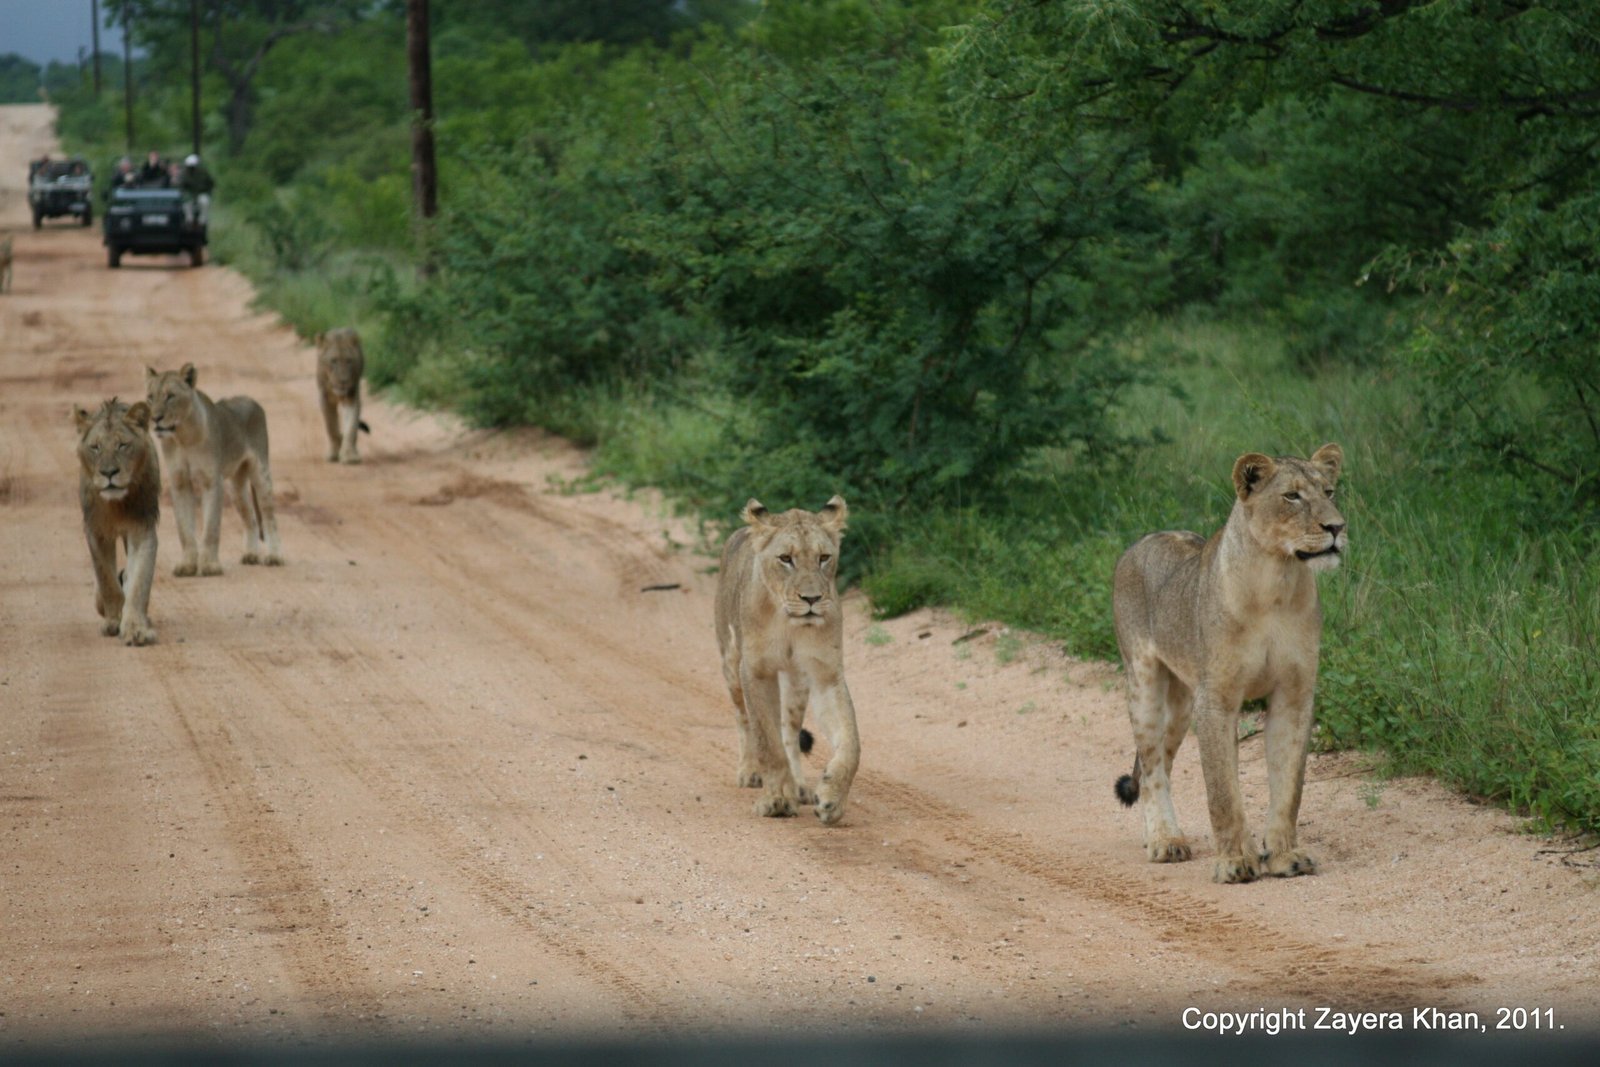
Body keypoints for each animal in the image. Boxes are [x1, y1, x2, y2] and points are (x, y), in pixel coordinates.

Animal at [74, 397, 160, 646]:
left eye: (123, 445)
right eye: (95, 447)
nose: (109, 472)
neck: (117, 504)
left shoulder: (142, 529)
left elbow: (139, 581)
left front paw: (135, 629)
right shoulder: (96, 531)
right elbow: (107, 580)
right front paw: (113, 621)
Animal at [145, 363, 283, 575]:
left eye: (170, 396)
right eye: (150, 397)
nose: (155, 418)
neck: (183, 437)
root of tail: (251, 400)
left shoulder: (212, 481)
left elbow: (211, 527)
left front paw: (209, 565)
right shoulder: (179, 483)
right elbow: (184, 529)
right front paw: (187, 565)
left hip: (261, 472)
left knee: (269, 517)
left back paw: (274, 556)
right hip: (236, 487)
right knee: (250, 518)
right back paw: (251, 554)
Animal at [315, 327, 369, 464]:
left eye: (349, 361)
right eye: (333, 361)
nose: (343, 381)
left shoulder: (351, 397)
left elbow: (351, 427)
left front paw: (349, 456)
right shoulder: (325, 399)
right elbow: (331, 427)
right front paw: (334, 453)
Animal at [715, 496, 861, 825]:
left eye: (823, 557)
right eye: (785, 558)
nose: (812, 599)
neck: (788, 622)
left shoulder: (825, 674)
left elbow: (851, 742)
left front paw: (831, 799)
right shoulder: (755, 671)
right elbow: (766, 741)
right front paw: (777, 800)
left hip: (796, 683)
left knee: (789, 731)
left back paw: (800, 787)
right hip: (730, 662)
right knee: (743, 719)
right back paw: (750, 772)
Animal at [1112, 444, 1346, 883]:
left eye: (1329, 491)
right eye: (1292, 496)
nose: (1337, 528)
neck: (1277, 581)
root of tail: (1144, 539)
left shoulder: (1293, 695)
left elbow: (1289, 787)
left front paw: (1285, 856)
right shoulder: (1217, 700)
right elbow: (1223, 792)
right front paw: (1236, 862)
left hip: (1183, 703)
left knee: (1163, 763)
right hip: (1145, 684)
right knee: (1151, 769)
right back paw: (1165, 841)